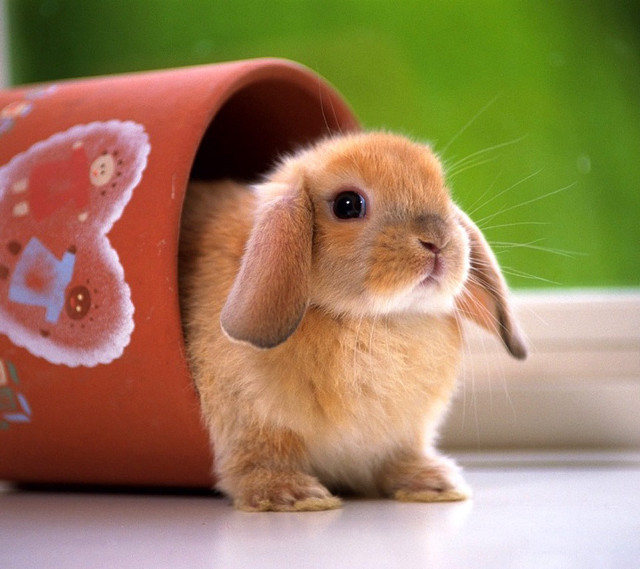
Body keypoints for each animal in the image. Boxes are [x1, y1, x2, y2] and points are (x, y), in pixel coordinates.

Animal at [179, 131, 527, 512]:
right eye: (348, 205)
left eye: (443, 192)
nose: (437, 242)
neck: (372, 320)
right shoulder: (253, 425)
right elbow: (257, 461)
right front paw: (296, 496)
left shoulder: (402, 436)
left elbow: (398, 459)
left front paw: (436, 484)